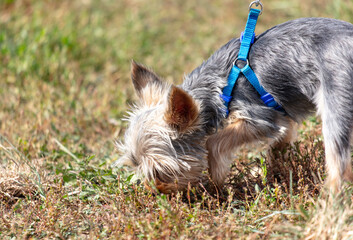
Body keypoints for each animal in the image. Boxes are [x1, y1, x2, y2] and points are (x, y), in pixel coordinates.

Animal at [114, 17, 352, 193]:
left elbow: (214, 142)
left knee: (338, 162)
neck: (219, 87)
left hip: (336, 96)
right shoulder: (280, 117)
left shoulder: (258, 117)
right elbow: (280, 143)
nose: (156, 191)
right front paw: (278, 171)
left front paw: (217, 181)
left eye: (160, 171)